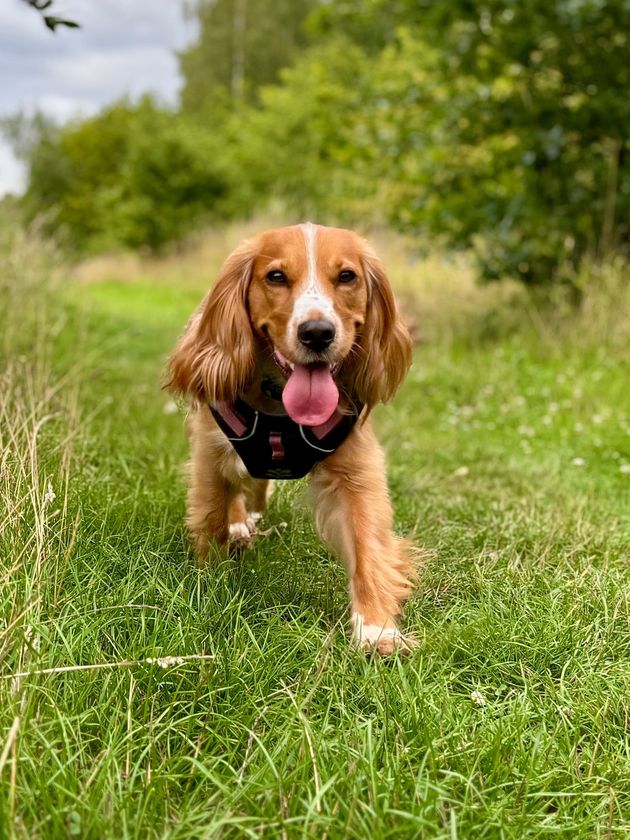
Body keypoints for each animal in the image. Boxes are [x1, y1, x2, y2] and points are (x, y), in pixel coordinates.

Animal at [167, 223, 416, 653]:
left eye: (346, 276)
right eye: (276, 276)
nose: (317, 333)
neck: (279, 405)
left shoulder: (357, 471)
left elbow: (369, 544)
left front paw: (376, 628)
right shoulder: (209, 456)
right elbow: (211, 517)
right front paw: (210, 581)